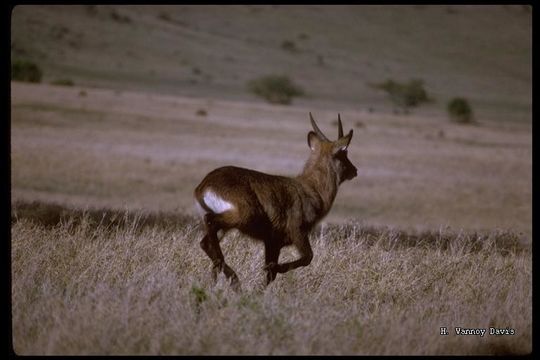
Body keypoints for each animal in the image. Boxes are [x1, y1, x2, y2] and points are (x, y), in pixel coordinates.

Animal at [194, 112, 358, 290]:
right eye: (344, 154)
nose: (355, 170)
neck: (312, 189)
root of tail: (204, 185)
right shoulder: (296, 232)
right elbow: (307, 257)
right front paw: (275, 268)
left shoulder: (273, 242)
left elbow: (270, 276)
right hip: (242, 217)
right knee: (209, 222)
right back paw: (232, 279)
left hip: (227, 225)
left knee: (205, 242)